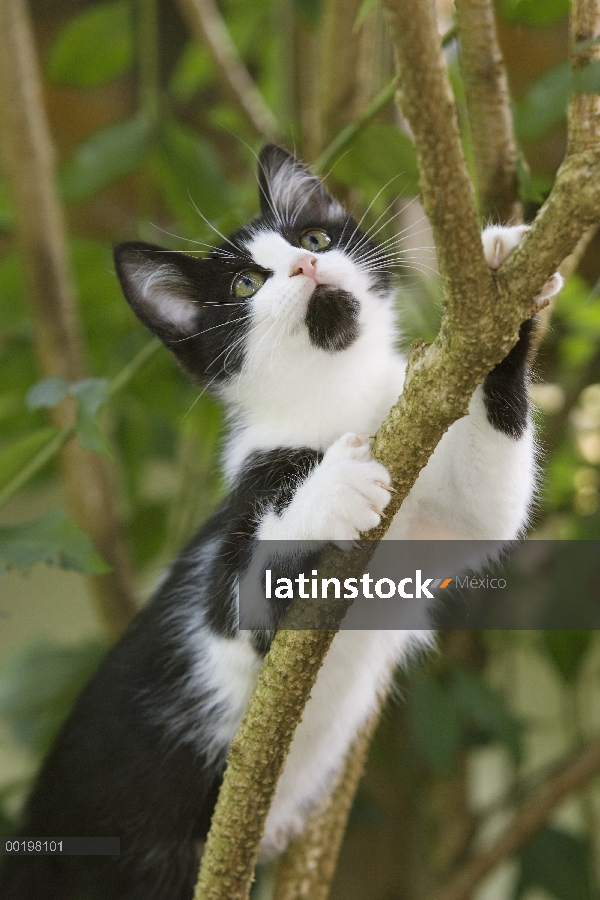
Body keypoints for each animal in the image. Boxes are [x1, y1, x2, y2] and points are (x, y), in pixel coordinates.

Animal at [0, 144, 564, 896]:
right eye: (244, 283)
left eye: (316, 238)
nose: (305, 266)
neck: (343, 402)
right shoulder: (236, 548)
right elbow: (246, 598)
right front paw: (335, 488)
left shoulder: (442, 517)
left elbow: (486, 510)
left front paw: (503, 282)